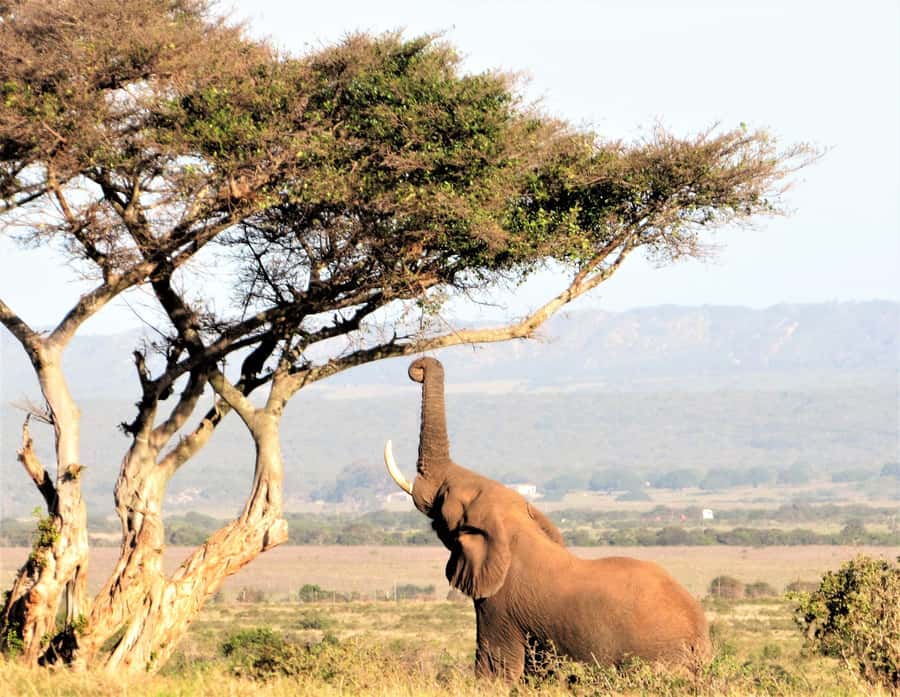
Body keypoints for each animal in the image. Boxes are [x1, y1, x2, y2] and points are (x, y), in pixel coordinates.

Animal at [384, 356, 711, 682]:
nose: (418, 368)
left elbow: (494, 669)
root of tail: (701, 639)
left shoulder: (500, 606)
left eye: (445, 499)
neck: (514, 529)